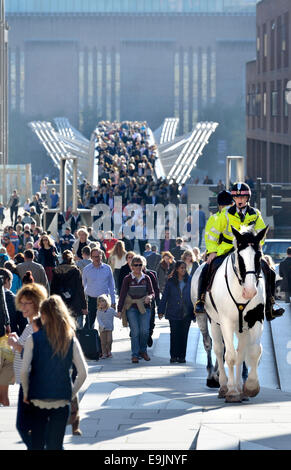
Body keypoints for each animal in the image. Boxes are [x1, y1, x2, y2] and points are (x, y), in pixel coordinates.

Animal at [192, 226, 270, 402]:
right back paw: (220, 383)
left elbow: (253, 352)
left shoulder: (256, 319)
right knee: (216, 348)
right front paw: (232, 391)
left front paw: (250, 387)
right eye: (240, 256)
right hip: (210, 320)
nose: (250, 291)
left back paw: (239, 386)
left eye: (259, 255)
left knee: (240, 352)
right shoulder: (226, 321)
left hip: (241, 327)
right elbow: (230, 356)